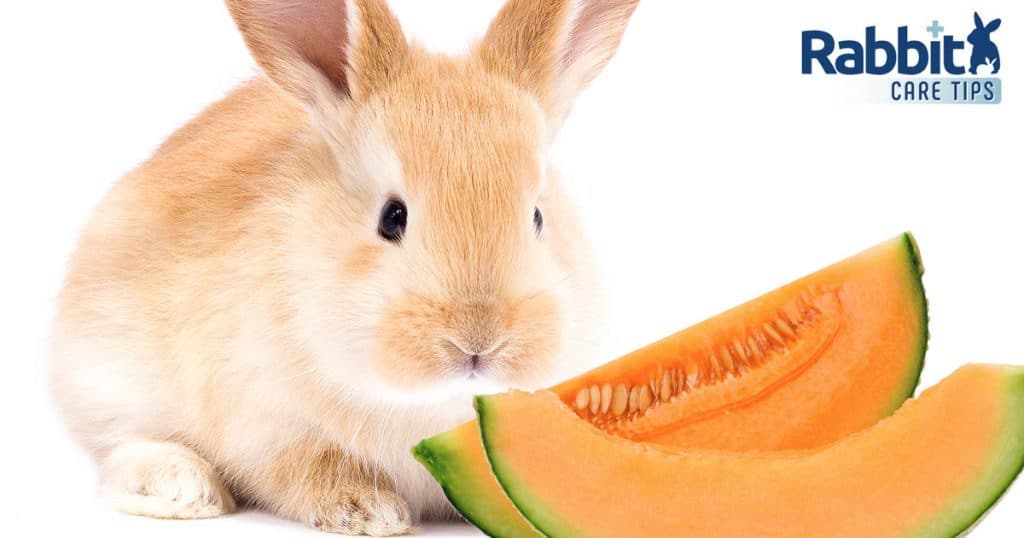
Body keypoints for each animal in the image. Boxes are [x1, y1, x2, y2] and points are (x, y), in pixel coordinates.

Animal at [50, 0, 639, 535]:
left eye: (538, 216)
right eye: (392, 217)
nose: (480, 340)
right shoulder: (266, 422)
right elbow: (310, 470)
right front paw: (370, 513)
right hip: (105, 375)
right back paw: (186, 489)